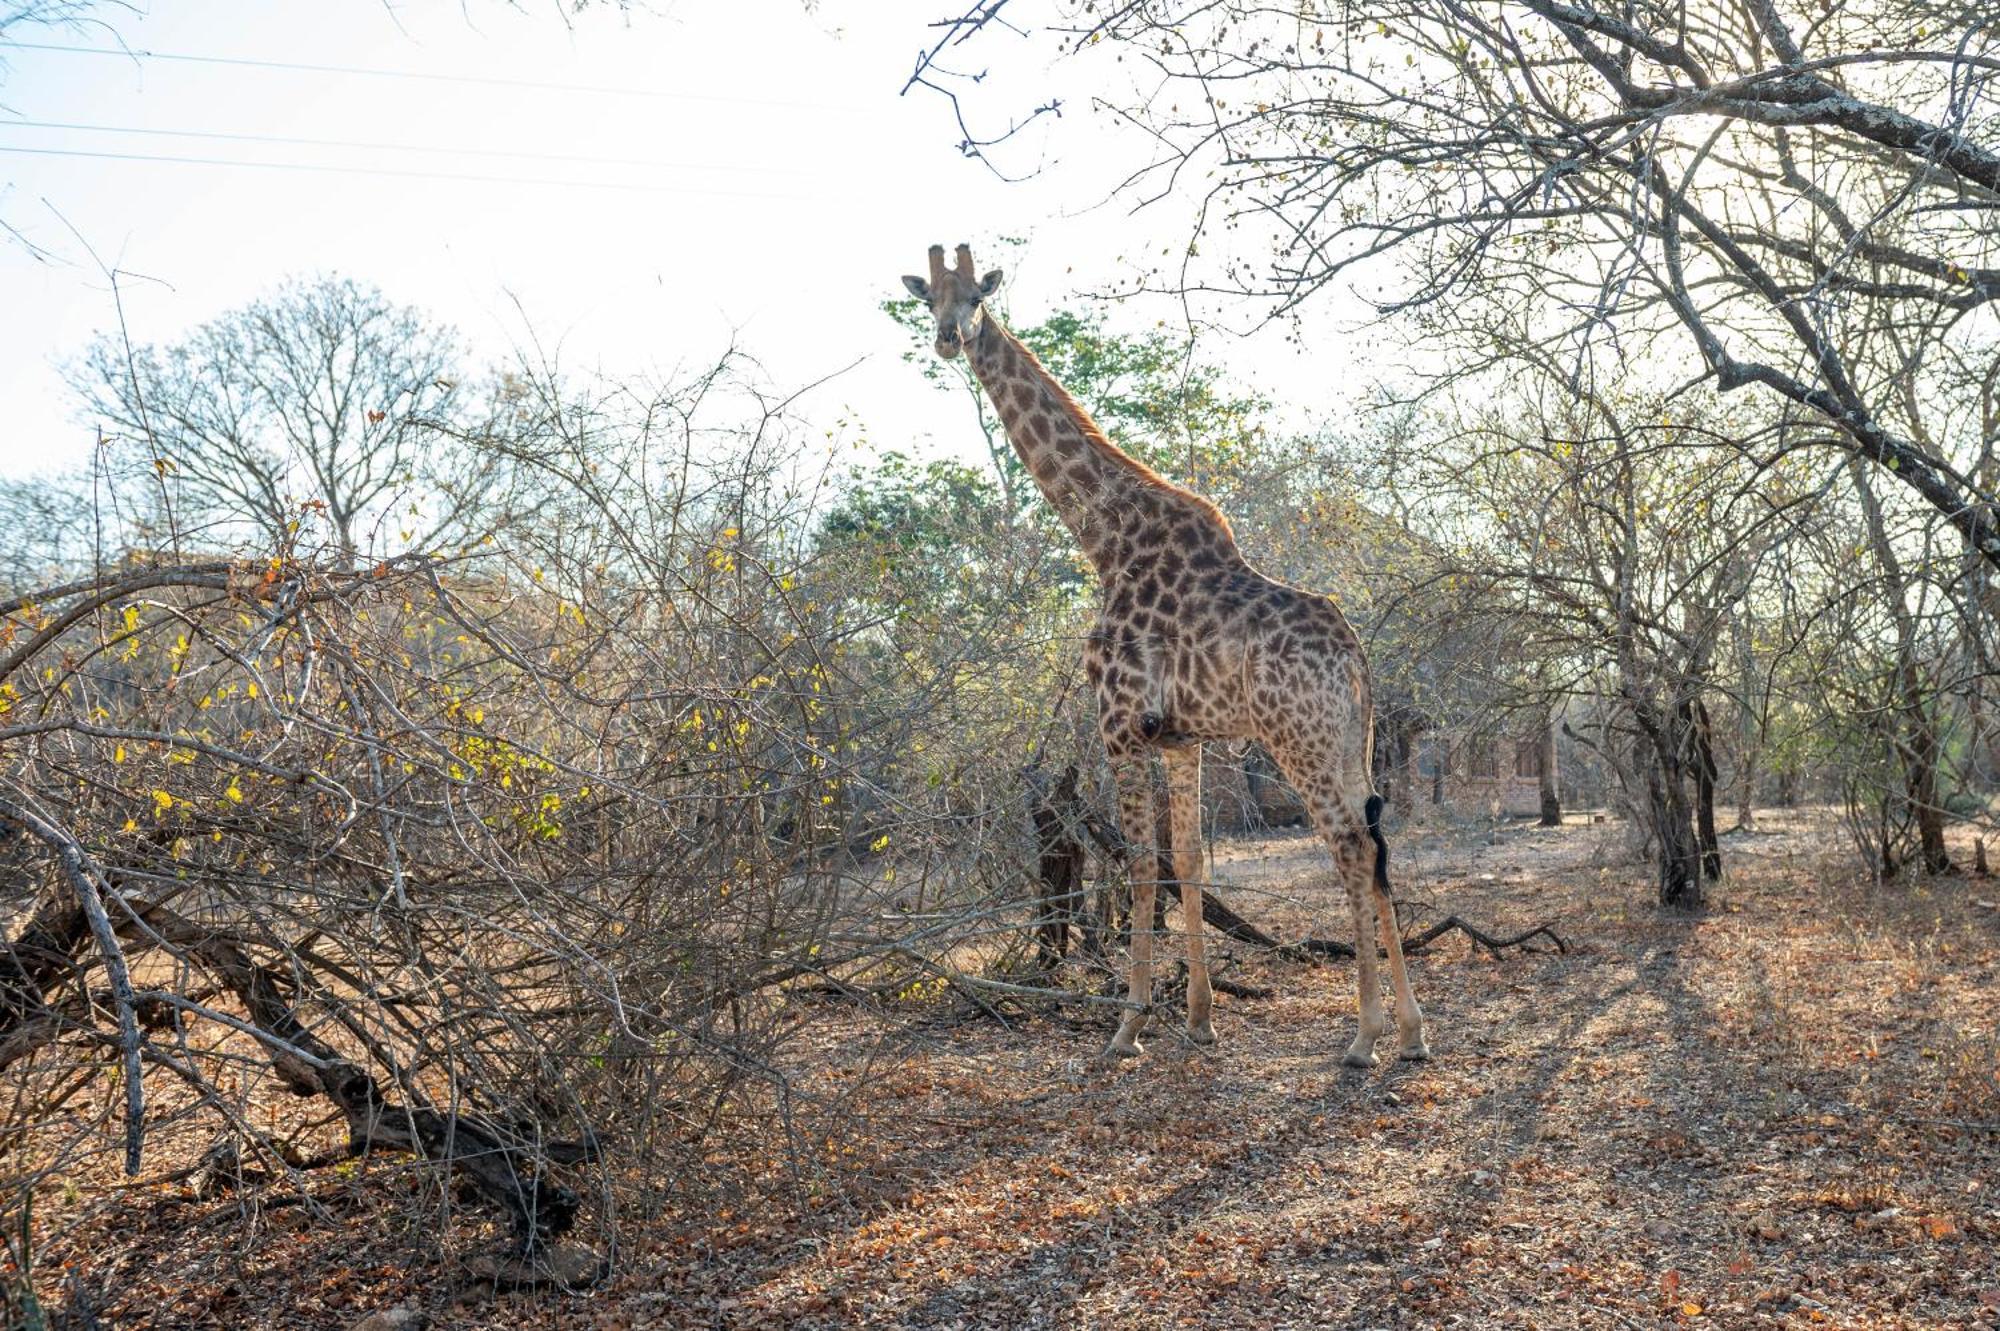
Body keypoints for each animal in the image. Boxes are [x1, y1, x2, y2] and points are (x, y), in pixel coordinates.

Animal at [900, 243, 1432, 1063]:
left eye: (977, 298)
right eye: (929, 300)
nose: (949, 340)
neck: (1105, 542)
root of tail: (1354, 660)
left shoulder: (1119, 724)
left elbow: (1142, 863)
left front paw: (1128, 1025)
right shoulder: (1182, 738)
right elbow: (1186, 860)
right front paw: (1200, 1018)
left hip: (1298, 740)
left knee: (1347, 846)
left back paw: (1364, 1033)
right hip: (1352, 740)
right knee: (1376, 846)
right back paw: (1409, 1030)